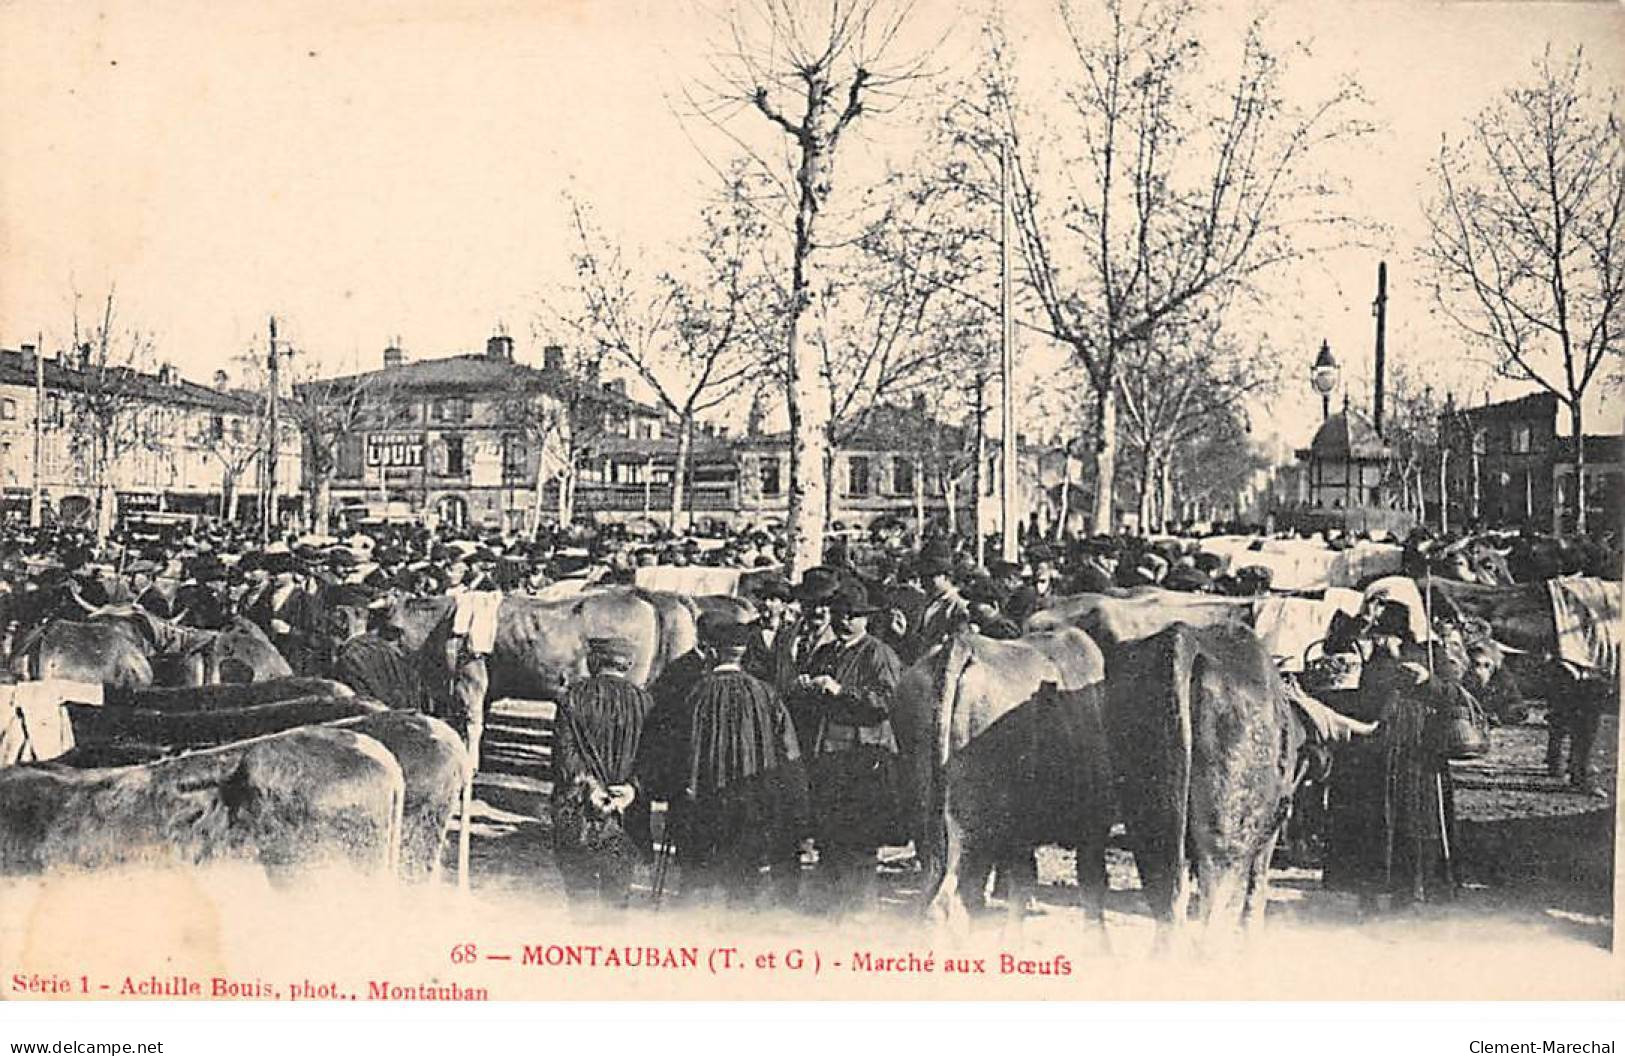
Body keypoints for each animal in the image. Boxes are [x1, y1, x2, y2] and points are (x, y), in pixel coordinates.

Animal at [890, 620, 1118, 935]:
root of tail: (964, 644)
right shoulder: (1093, 823)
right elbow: (1092, 891)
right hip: (972, 830)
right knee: (949, 903)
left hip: (926, 814)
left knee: (939, 893)